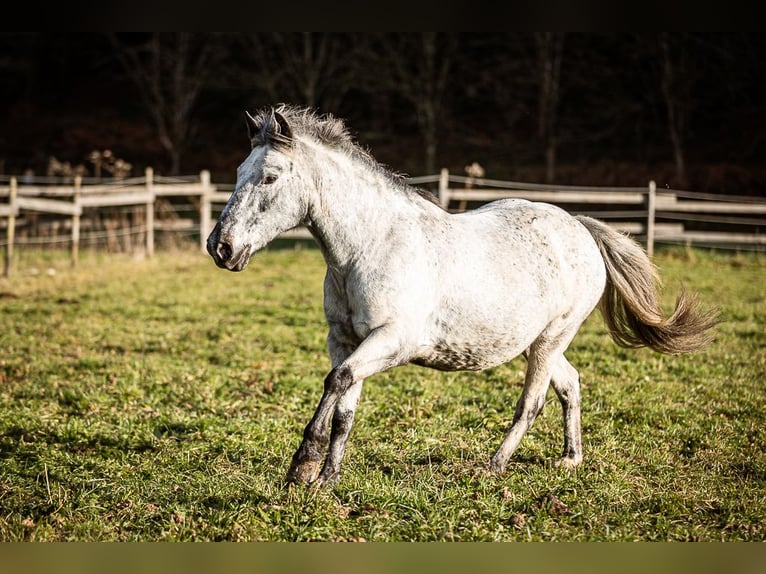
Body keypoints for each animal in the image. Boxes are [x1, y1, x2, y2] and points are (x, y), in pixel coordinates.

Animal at [206, 104, 720, 490]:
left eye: (270, 177)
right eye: (239, 171)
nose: (220, 247)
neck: (368, 246)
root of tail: (579, 226)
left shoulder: (392, 342)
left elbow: (337, 383)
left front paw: (302, 467)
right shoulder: (345, 341)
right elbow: (345, 407)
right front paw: (326, 479)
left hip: (552, 338)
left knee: (531, 403)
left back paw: (493, 466)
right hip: (537, 343)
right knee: (570, 384)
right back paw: (569, 459)